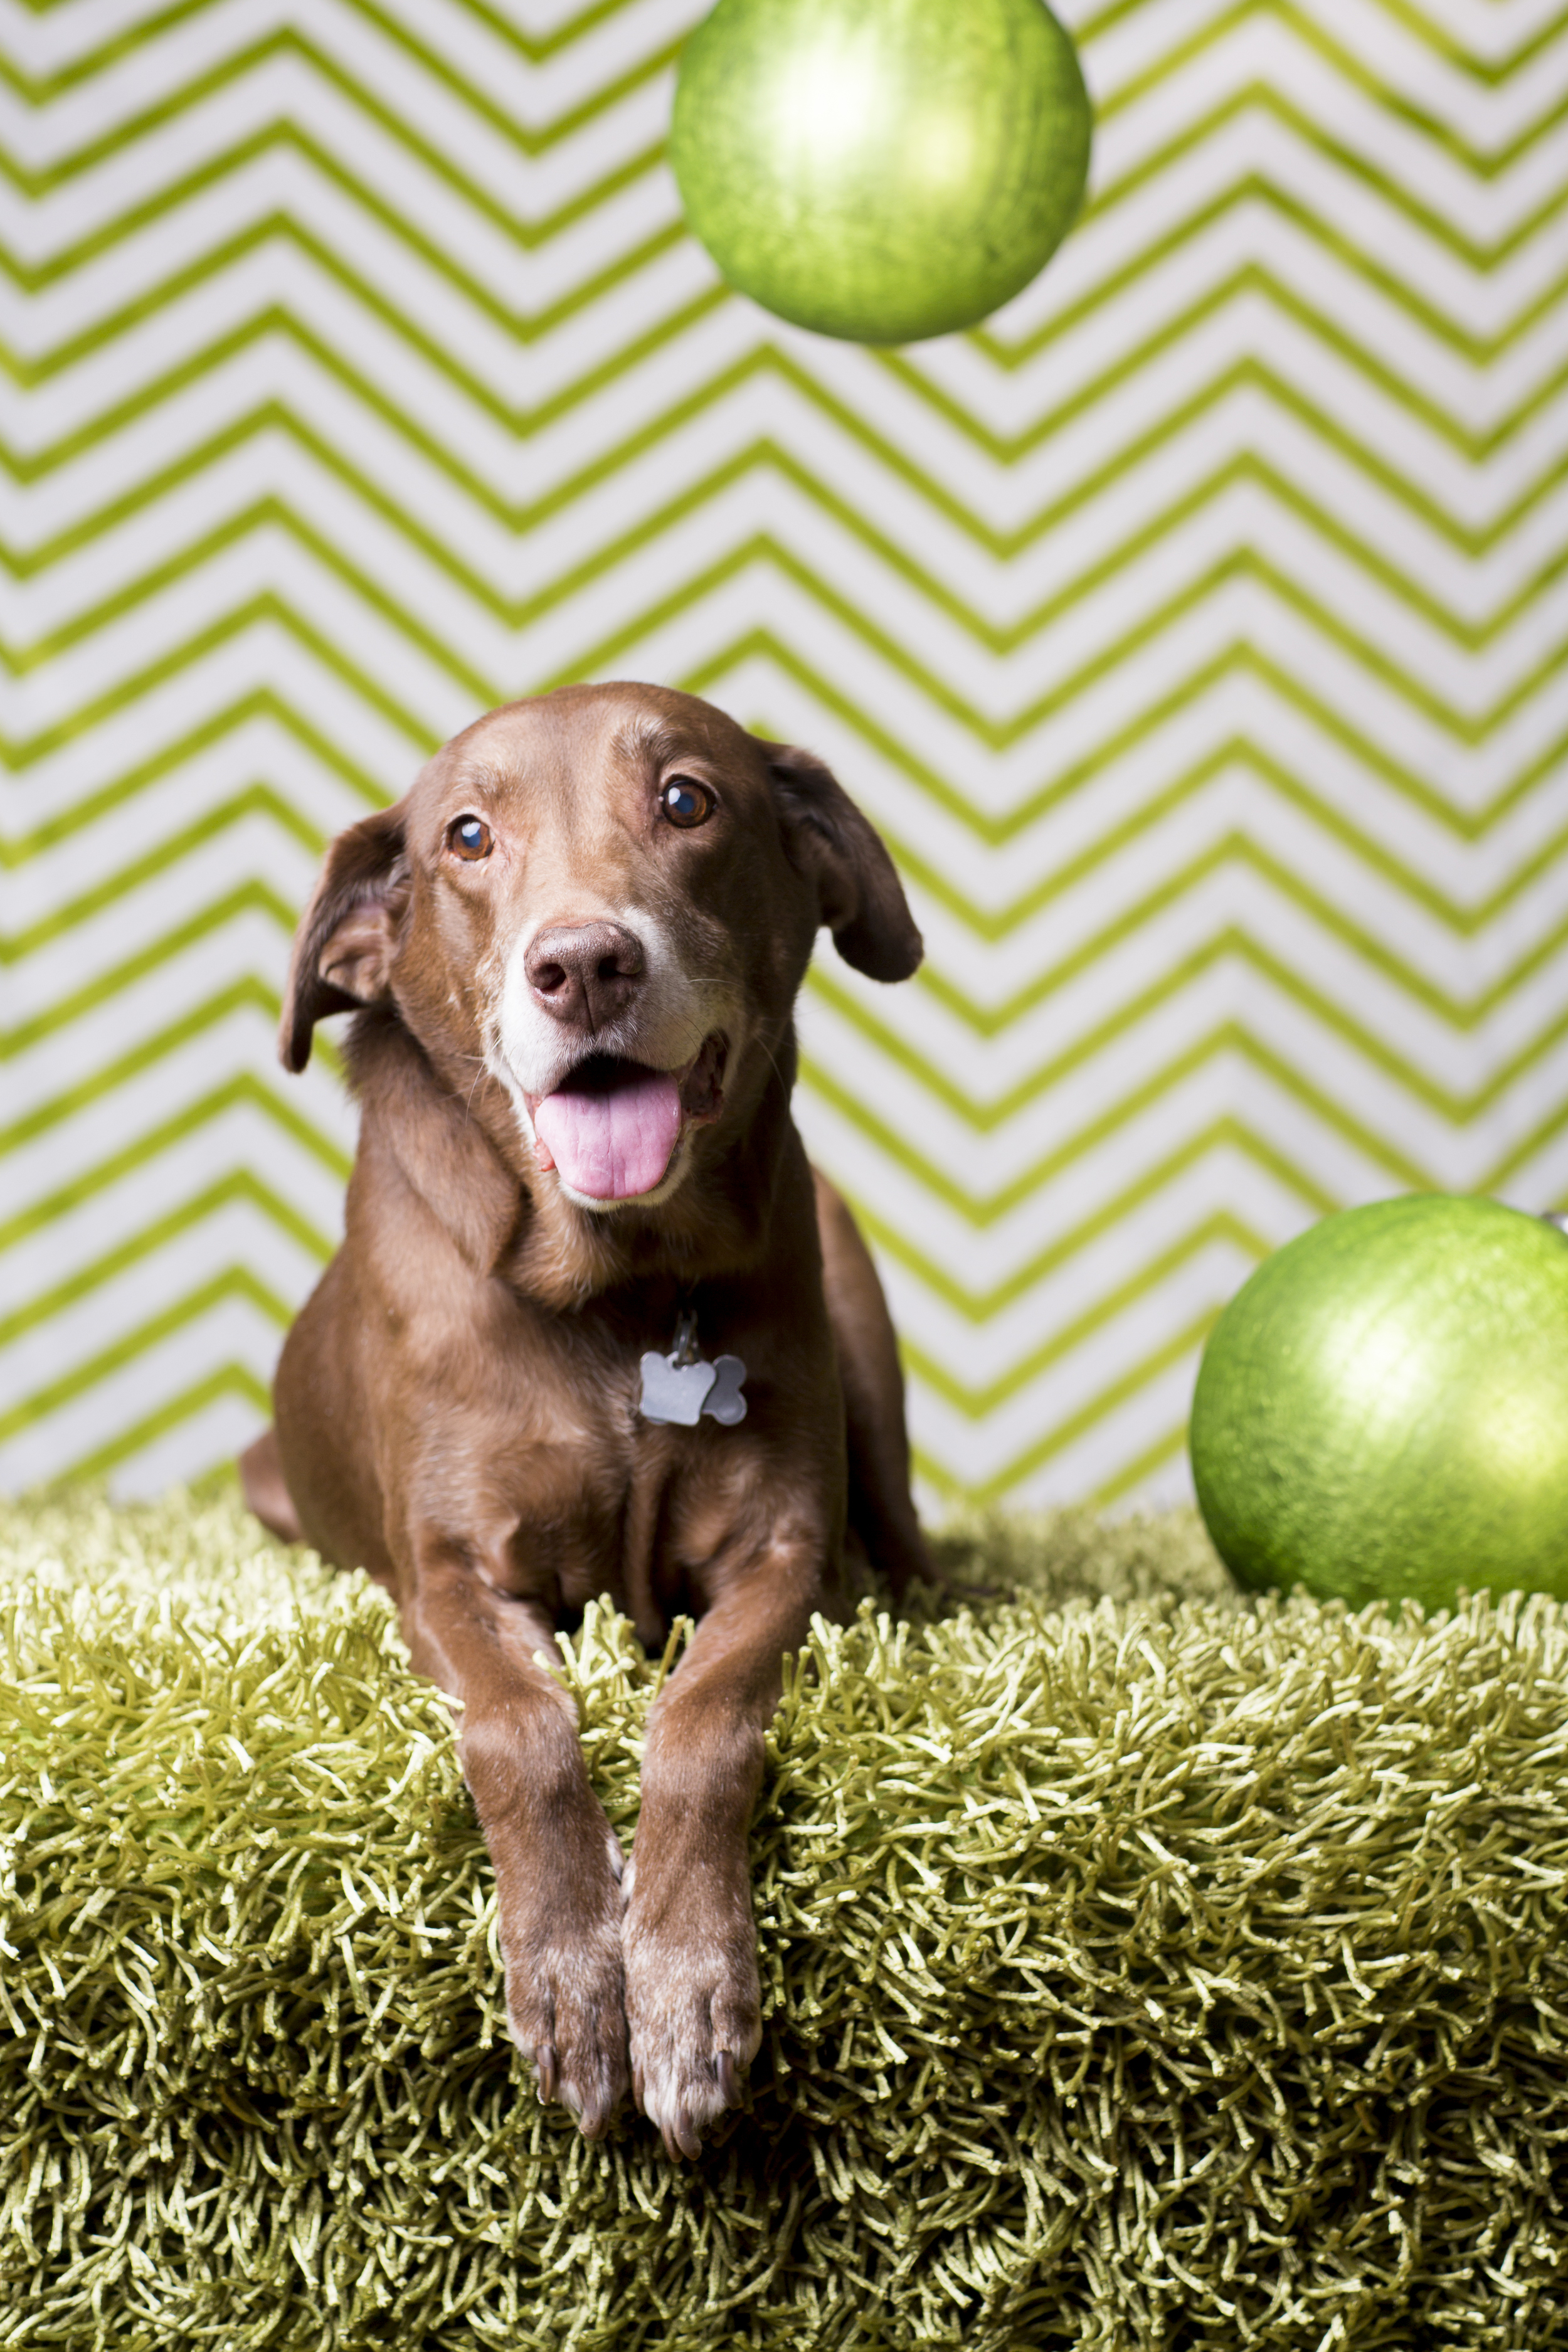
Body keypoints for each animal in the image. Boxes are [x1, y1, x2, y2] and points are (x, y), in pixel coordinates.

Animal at [243, 677, 931, 2154]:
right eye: (464, 835)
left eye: (685, 799)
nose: (583, 965)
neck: (620, 1297)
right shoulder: (449, 1576)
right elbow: (523, 1731)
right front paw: (571, 1973)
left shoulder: (784, 1557)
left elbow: (704, 1723)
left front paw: (678, 1982)